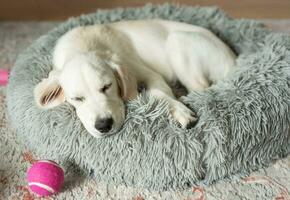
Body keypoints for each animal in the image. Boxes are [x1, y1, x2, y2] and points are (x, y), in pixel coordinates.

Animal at [34, 19, 236, 138]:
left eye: (107, 86)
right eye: (77, 98)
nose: (104, 125)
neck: (83, 46)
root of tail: (232, 58)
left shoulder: (146, 72)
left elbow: (157, 93)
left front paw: (180, 112)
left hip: (177, 41)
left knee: (200, 88)